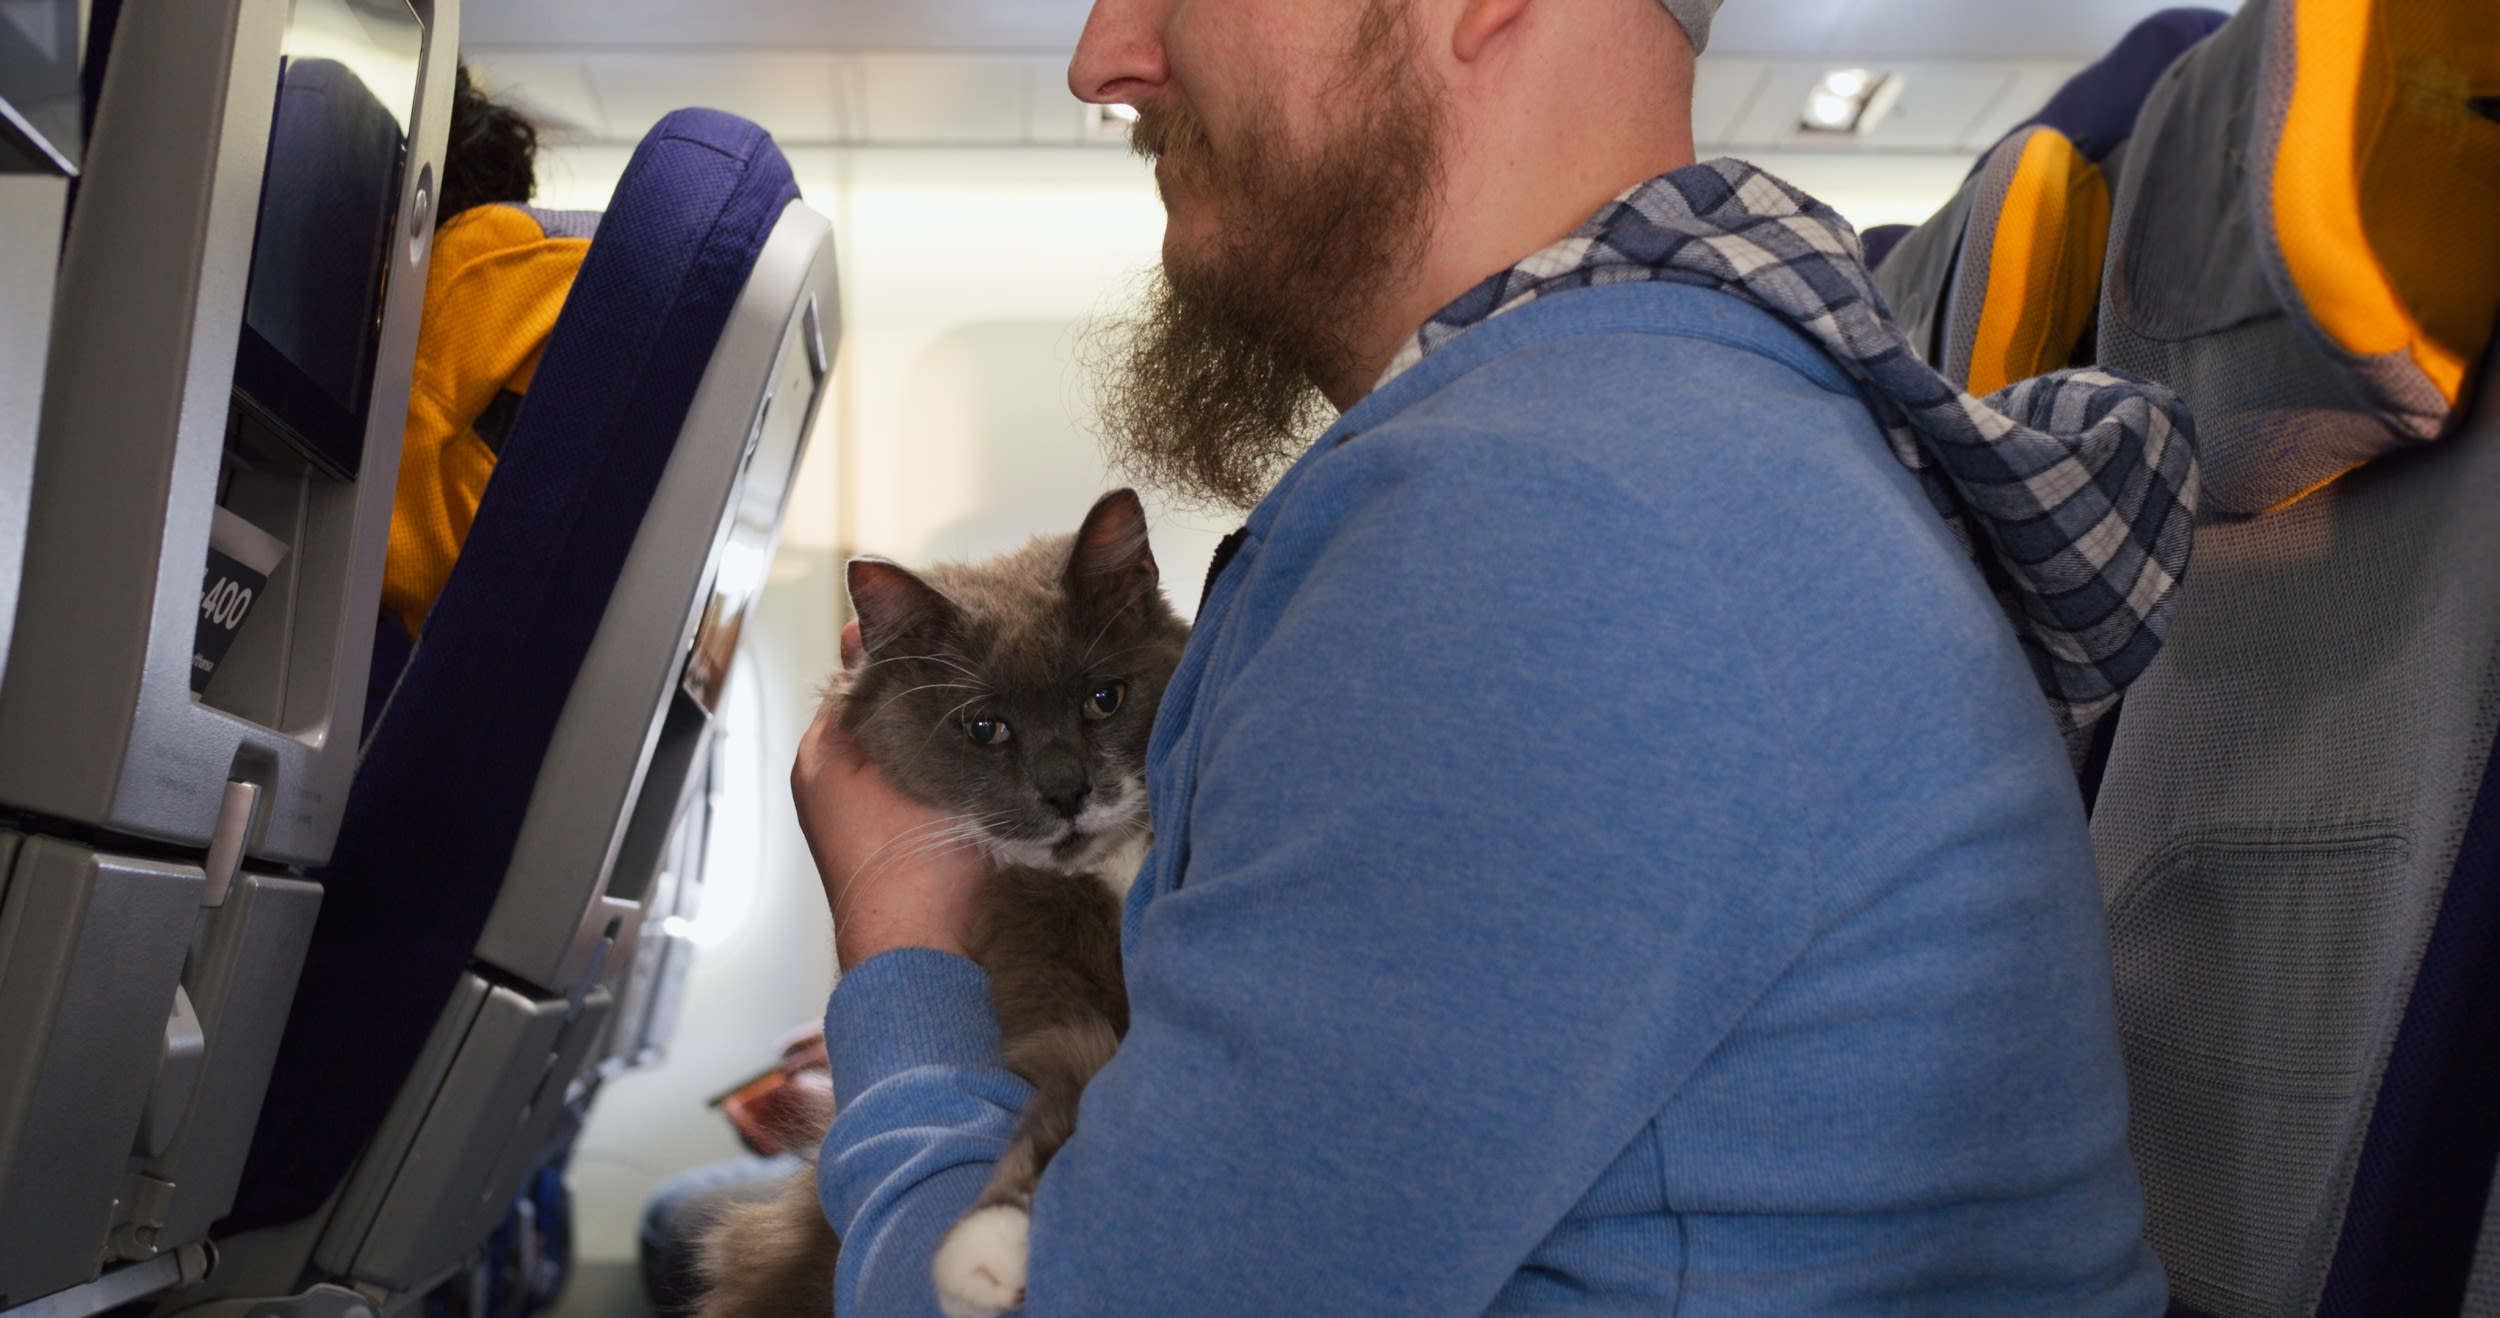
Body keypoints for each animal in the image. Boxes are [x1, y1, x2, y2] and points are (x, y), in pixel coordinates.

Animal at [690, 490, 1185, 1318]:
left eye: (1103, 699)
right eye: (986, 728)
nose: (1066, 791)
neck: (1107, 872)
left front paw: (986, 1251)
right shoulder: (1047, 993)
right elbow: (1072, 1080)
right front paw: (988, 1255)